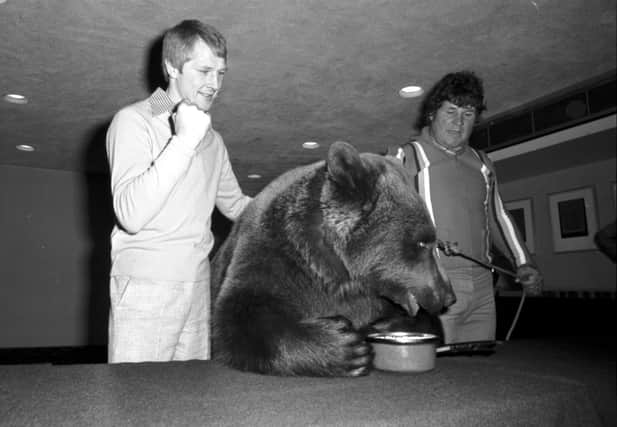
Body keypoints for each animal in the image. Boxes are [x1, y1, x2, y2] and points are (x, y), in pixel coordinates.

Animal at [209, 141, 454, 378]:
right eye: (422, 243)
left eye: (432, 241)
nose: (448, 296)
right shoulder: (272, 255)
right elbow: (238, 317)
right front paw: (348, 348)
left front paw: (383, 326)